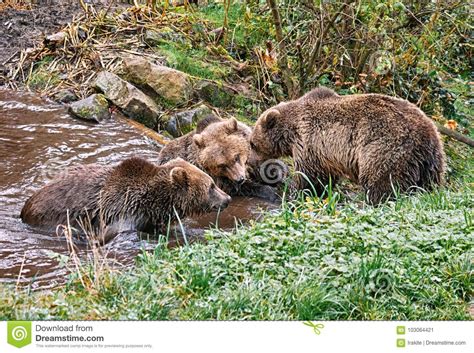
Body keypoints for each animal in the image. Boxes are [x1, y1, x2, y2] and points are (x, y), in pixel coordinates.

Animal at [250, 85, 446, 205]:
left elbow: (310, 177)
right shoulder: (324, 154)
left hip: (386, 148)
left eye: (252, 144)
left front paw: (297, 194)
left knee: (382, 182)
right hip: (430, 161)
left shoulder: (309, 142)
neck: (291, 132)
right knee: (429, 184)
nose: (251, 163)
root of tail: (427, 132)